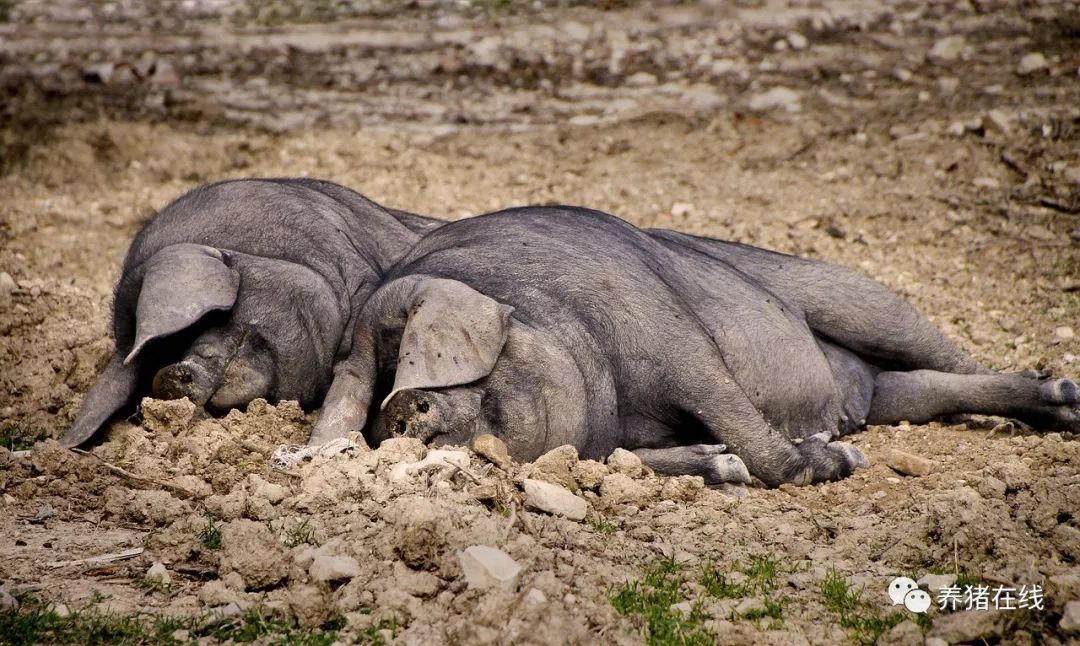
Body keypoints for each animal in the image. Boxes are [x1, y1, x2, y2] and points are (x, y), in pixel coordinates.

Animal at [311, 206, 1080, 486]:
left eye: (416, 356)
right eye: (377, 385)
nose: (400, 413)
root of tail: (854, 392)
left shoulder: (675, 338)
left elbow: (734, 412)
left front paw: (834, 463)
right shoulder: (607, 439)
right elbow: (647, 455)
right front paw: (722, 464)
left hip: (854, 293)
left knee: (952, 356)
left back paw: (1066, 397)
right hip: (891, 392)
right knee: (925, 390)